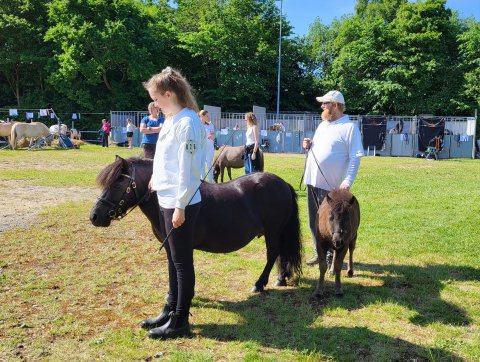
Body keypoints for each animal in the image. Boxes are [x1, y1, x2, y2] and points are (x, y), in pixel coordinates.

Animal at [90, 157, 302, 292]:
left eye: (118, 184)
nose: (94, 216)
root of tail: (283, 183)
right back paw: (281, 278)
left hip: (273, 231)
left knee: (273, 253)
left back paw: (260, 283)